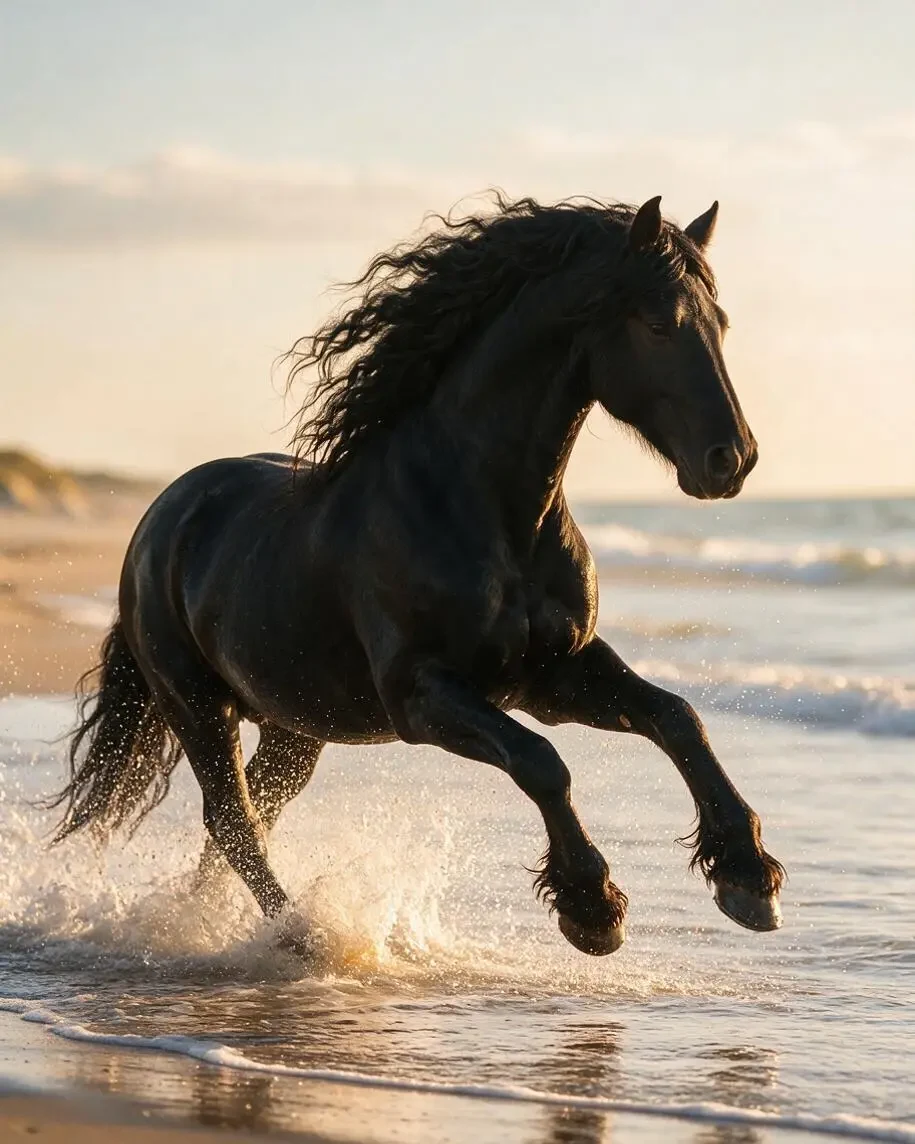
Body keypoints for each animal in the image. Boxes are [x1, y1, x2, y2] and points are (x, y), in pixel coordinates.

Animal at [50, 194, 785, 957]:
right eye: (655, 323)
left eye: (719, 324)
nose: (731, 460)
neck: (487, 513)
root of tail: (160, 518)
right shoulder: (422, 693)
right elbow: (541, 760)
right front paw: (592, 907)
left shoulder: (556, 673)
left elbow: (677, 718)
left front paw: (747, 878)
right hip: (196, 704)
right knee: (232, 818)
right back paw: (298, 935)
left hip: (296, 726)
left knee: (251, 816)